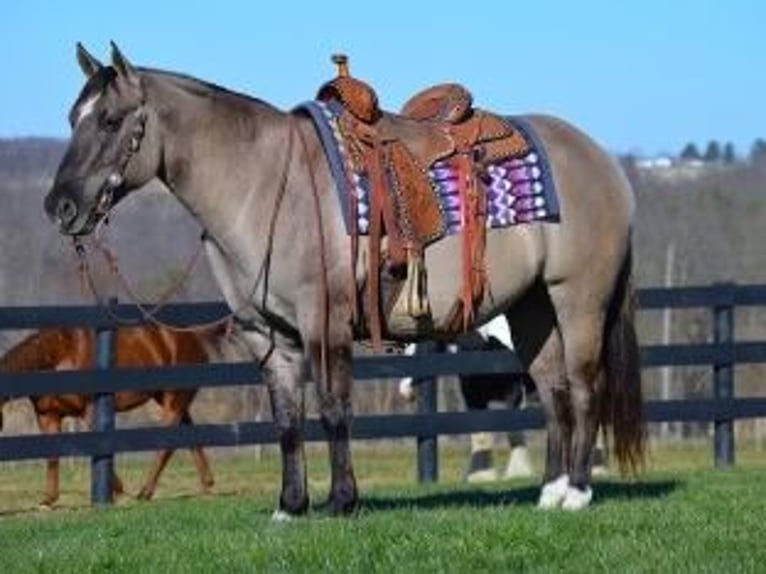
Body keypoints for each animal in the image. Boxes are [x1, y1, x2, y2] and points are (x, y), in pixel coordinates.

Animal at [0, 326, 219, 510]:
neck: (60, 354)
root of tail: (192, 338)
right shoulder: (48, 417)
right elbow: (52, 455)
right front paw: (48, 499)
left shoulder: (90, 412)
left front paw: (118, 492)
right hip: (171, 400)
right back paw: (207, 484)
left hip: (174, 399)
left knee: (167, 442)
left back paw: (144, 492)